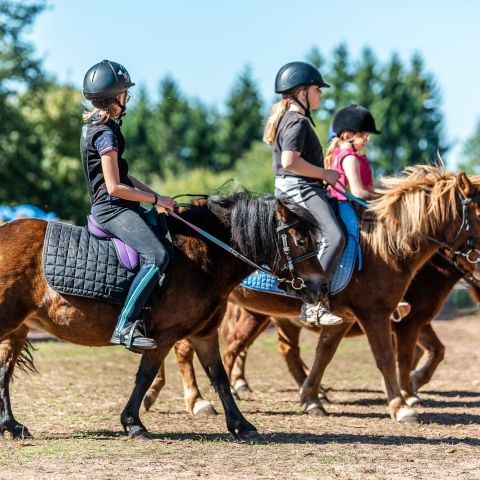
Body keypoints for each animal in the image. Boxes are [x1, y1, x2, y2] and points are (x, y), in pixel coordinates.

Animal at [0, 191, 326, 438]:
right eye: (301, 240)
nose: (321, 286)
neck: (202, 254)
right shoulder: (165, 335)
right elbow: (146, 374)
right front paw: (133, 423)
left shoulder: (204, 333)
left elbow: (219, 377)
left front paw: (241, 425)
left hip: (18, 328)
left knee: (4, 371)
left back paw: (12, 426)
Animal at [143, 166, 480, 424]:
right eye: (478, 212)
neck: (385, 246)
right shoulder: (379, 314)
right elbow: (390, 358)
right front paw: (401, 405)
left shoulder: (347, 318)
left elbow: (324, 355)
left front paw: (311, 397)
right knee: (187, 348)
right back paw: (196, 400)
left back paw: (156, 392)